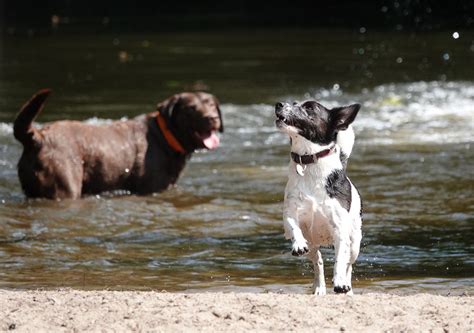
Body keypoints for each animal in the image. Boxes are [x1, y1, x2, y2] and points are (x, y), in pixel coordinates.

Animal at [12, 88, 224, 198]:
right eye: (191, 108)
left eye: (212, 105)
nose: (212, 118)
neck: (165, 136)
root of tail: (37, 136)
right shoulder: (151, 188)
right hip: (64, 187)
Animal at [274, 100, 362, 294]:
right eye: (293, 103)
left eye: (309, 108)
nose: (279, 104)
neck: (309, 161)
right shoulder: (290, 213)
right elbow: (294, 227)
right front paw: (298, 244)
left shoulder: (340, 231)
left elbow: (340, 262)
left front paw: (340, 283)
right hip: (313, 245)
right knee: (318, 262)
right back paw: (319, 287)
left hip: (354, 243)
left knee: (349, 265)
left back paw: (347, 287)